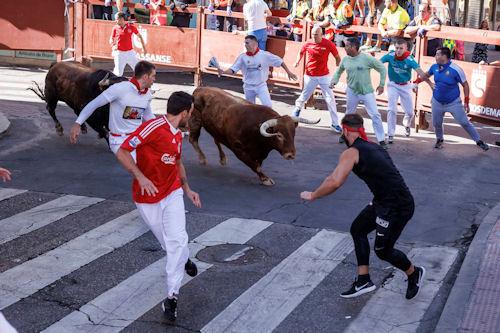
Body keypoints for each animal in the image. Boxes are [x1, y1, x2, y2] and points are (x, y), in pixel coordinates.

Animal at [188, 86, 320, 184]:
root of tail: (199, 89)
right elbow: (254, 165)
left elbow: (258, 164)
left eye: (293, 133)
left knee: (216, 140)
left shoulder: (261, 153)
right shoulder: (238, 149)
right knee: (193, 139)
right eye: (279, 135)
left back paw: (222, 159)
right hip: (195, 121)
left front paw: (261, 176)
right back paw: (202, 158)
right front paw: (265, 179)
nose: (290, 155)